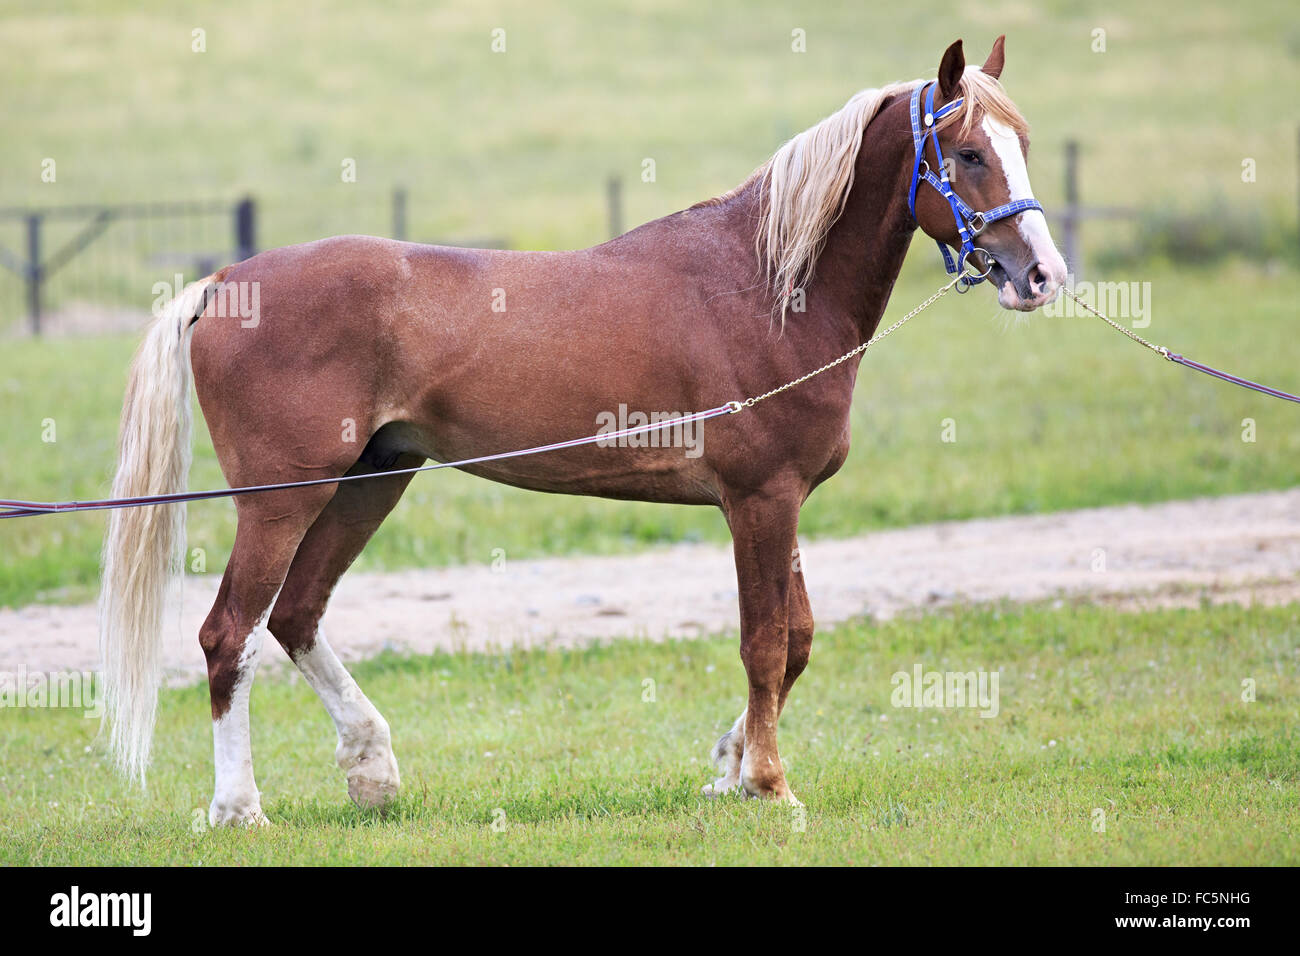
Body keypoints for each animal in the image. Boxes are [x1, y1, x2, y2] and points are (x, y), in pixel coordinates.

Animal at [101, 37, 1066, 822]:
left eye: (1021, 146)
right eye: (968, 153)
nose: (1042, 276)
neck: (766, 286)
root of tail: (224, 283)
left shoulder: (783, 503)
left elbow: (795, 643)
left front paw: (727, 768)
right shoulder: (759, 501)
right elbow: (764, 643)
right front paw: (769, 785)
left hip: (374, 478)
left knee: (295, 614)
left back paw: (372, 770)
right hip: (282, 498)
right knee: (228, 634)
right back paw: (239, 808)